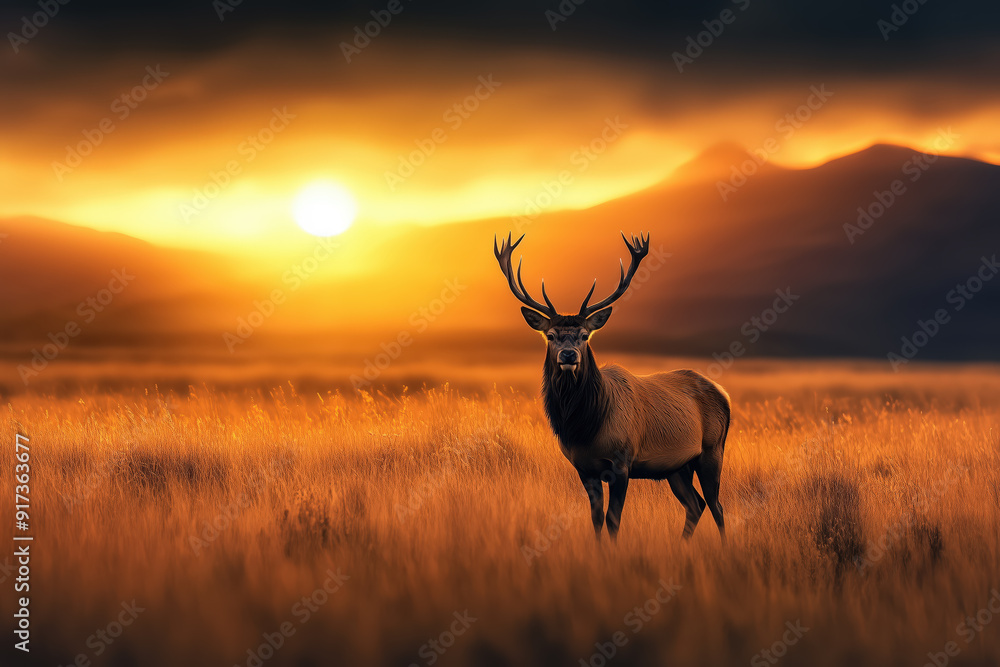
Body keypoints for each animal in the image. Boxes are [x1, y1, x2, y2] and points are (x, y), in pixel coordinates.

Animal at [493, 231, 731, 544]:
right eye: (551, 335)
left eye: (585, 335)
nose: (568, 355)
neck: (586, 426)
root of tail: (724, 394)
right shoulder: (584, 468)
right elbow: (595, 519)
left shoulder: (622, 461)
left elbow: (613, 519)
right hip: (678, 467)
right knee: (696, 504)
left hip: (712, 450)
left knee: (716, 506)